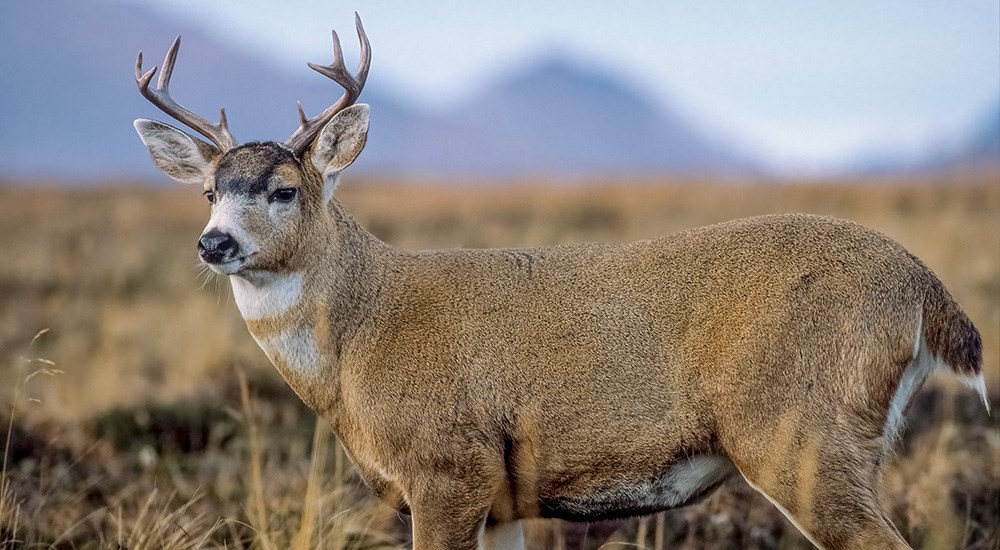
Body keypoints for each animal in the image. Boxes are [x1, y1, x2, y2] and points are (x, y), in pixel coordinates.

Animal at [135, 14, 992, 550]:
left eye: (283, 189)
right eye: (209, 190)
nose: (214, 243)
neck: (362, 336)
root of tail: (925, 289)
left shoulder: (448, 467)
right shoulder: (504, 498)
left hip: (801, 432)